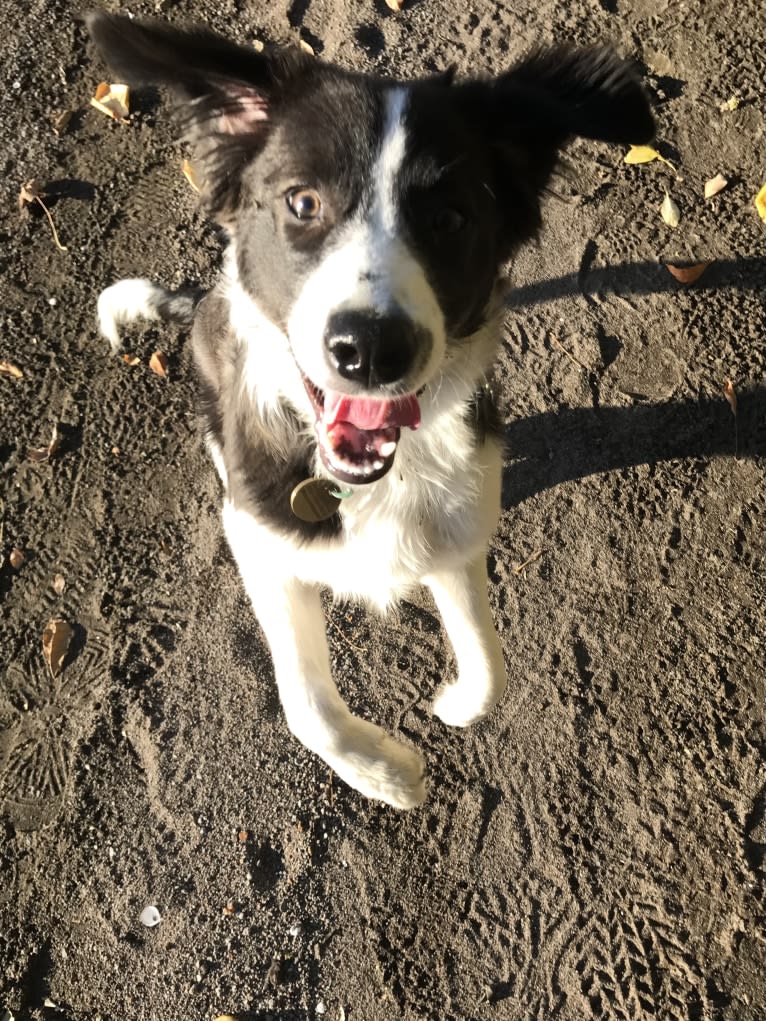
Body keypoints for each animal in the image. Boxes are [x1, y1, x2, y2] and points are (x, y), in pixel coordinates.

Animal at [88, 7, 653, 804]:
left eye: (449, 219)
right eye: (302, 202)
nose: (371, 348)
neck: (369, 481)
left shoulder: (457, 518)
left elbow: (489, 667)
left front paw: (451, 701)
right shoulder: (264, 545)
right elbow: (304, 702)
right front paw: (387, 773)